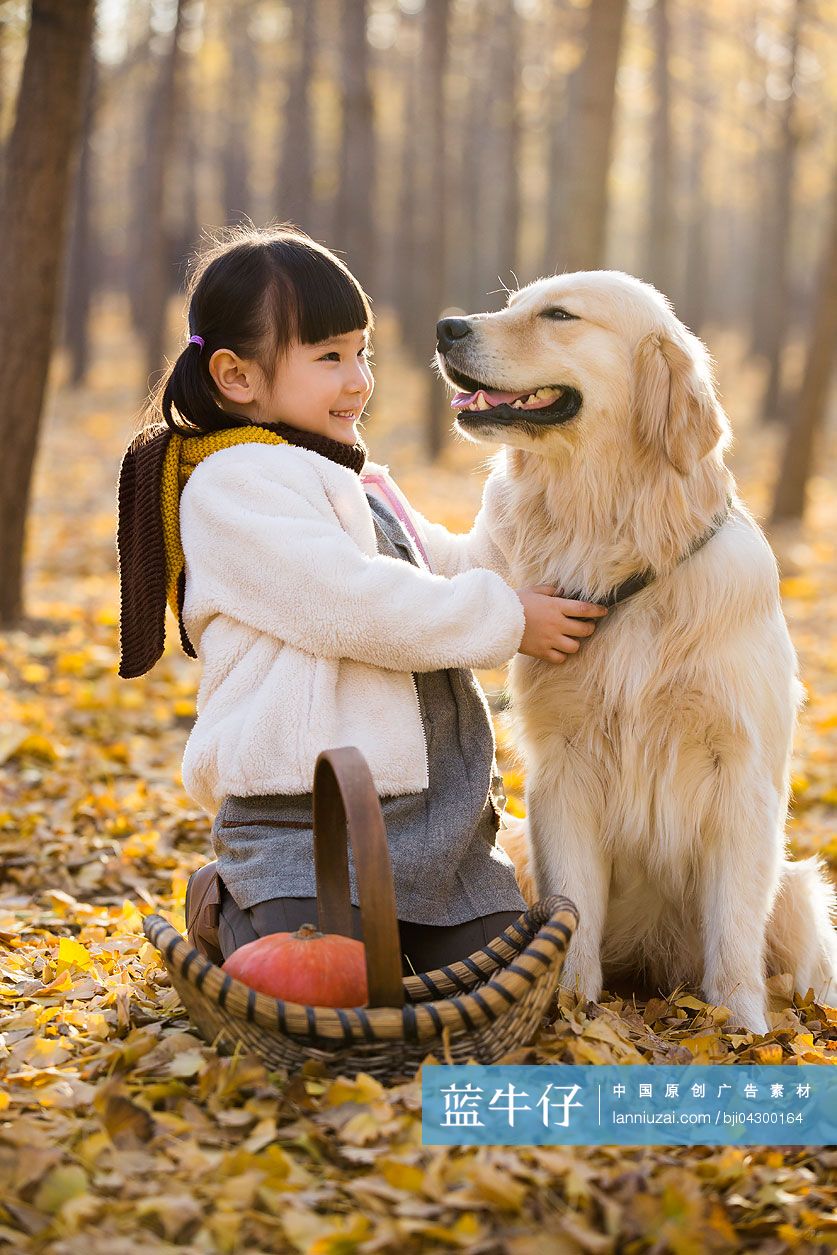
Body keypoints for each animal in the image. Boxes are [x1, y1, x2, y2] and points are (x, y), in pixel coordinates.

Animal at [439, 272, 837, 1029]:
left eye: (558, 315)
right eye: (511, 303)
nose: (446, 327)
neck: (619, 544)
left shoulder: (741, 772)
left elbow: (733, 925)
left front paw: (743, 1026)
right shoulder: (562, 765)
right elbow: (574, 904)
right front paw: (569, 1003)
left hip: (800, 891)